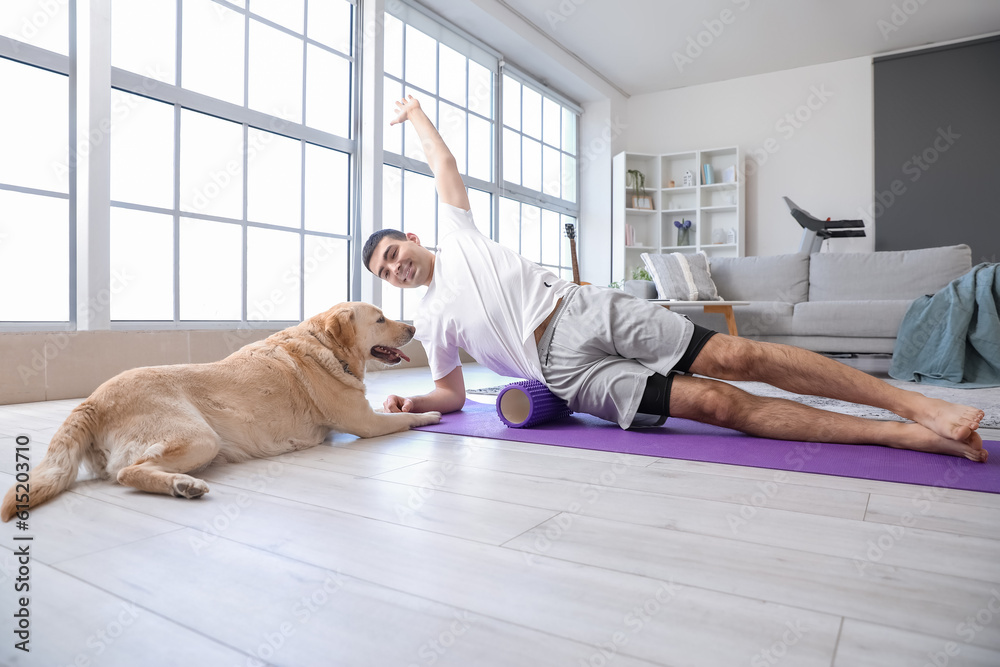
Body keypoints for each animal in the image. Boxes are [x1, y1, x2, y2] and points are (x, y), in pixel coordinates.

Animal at [0, 302, 440, 520]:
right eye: (381, 319)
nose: (415, 328)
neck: (326, 347)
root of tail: (92, 400)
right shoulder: (365, 422)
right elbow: (403, 418)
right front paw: (430, 415)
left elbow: (396, 407)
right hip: (200, 438)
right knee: (129, 473)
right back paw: (184, 485)